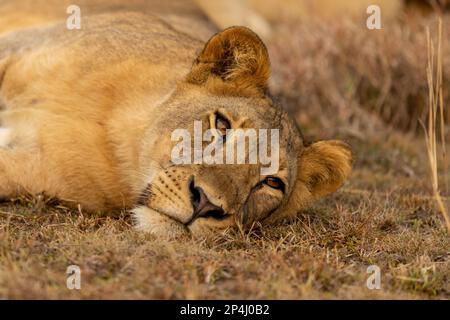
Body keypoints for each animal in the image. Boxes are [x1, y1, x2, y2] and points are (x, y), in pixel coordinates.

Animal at [0, 8, 352, 238]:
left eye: (272, 183)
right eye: (222, 125)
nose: (206, 204)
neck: (114, 131)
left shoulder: (31, 171)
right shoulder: (17, 45)